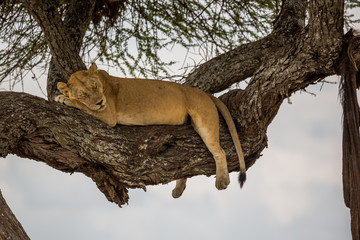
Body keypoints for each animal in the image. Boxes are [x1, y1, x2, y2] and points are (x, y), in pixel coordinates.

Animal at [56, 62, 246, 198]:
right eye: (84, 94)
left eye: (95, 87)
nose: (100, 102)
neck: (104, 82)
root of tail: (204, 93)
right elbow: (82, 103)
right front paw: (64, 96)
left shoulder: (107, 114)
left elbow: (82, 106)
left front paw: (63, 98)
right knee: (185, 164)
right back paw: (179, 189)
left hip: (204, 121)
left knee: (219, 151)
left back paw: (222, 181)